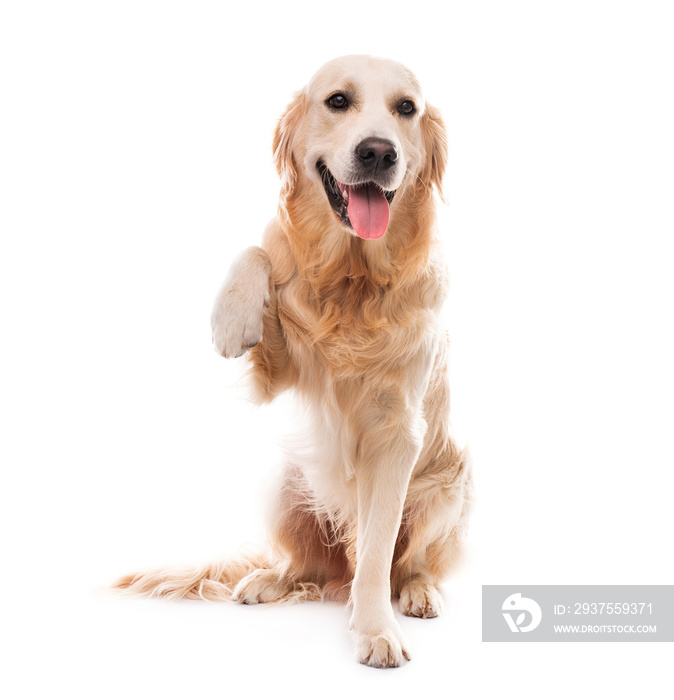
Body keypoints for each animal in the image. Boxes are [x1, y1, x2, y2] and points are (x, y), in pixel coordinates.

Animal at [114, 53, 472, 668]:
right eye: (337, 101)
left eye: (406, 108)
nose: (379, 152)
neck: (353, 279)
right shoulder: (276, 372)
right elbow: (258, 250)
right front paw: (232, 315)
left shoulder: (398, 434)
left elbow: (376, 555)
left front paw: (374, 629)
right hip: (284, 485)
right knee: (306, 565)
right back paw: (268, 579)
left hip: (448, 483)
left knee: (402, 562)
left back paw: (417, 592)